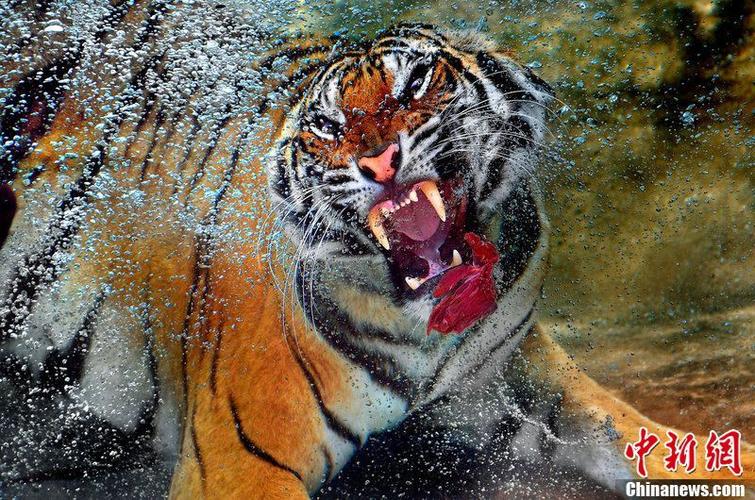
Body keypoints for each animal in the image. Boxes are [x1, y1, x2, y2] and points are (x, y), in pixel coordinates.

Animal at [0, 3, 752, 497]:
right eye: (329, 125)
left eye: (414, 84)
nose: (379, 161)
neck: (426, 328)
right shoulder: (242, 462)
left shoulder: (522, 380)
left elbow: (631, 430)